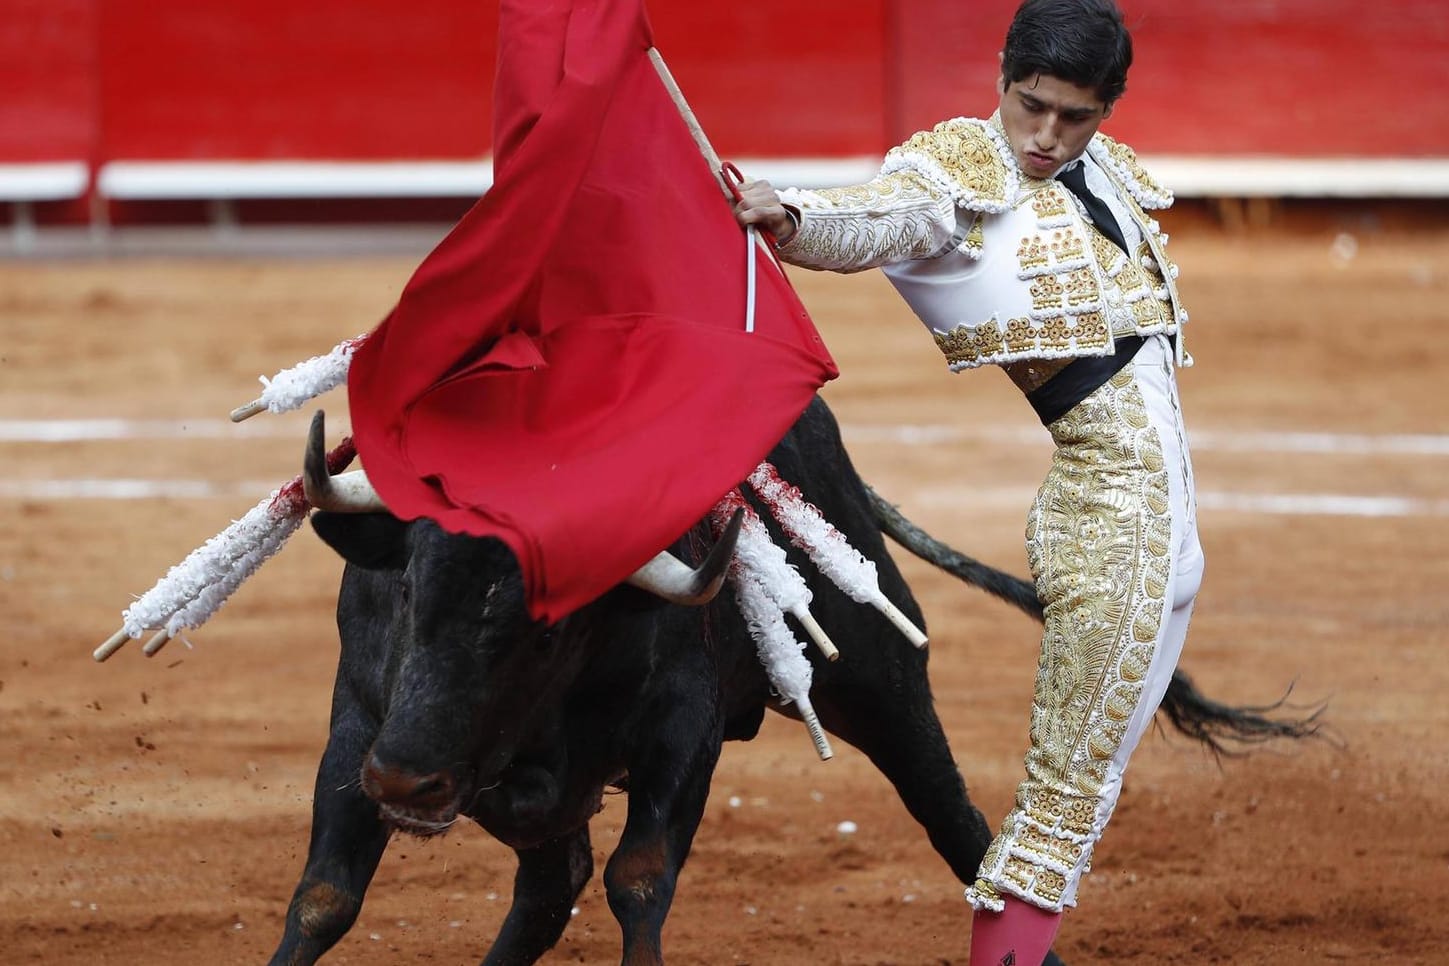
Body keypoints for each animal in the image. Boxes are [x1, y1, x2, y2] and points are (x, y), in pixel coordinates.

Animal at [269, 396, 1315, 961]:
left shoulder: (679, 739)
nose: (407, 782)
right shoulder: (357, 723)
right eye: (407, 589)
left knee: (963, 832)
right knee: (546, 880)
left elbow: (638, 882)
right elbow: (325, 896)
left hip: (886, 686)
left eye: (546, 627)